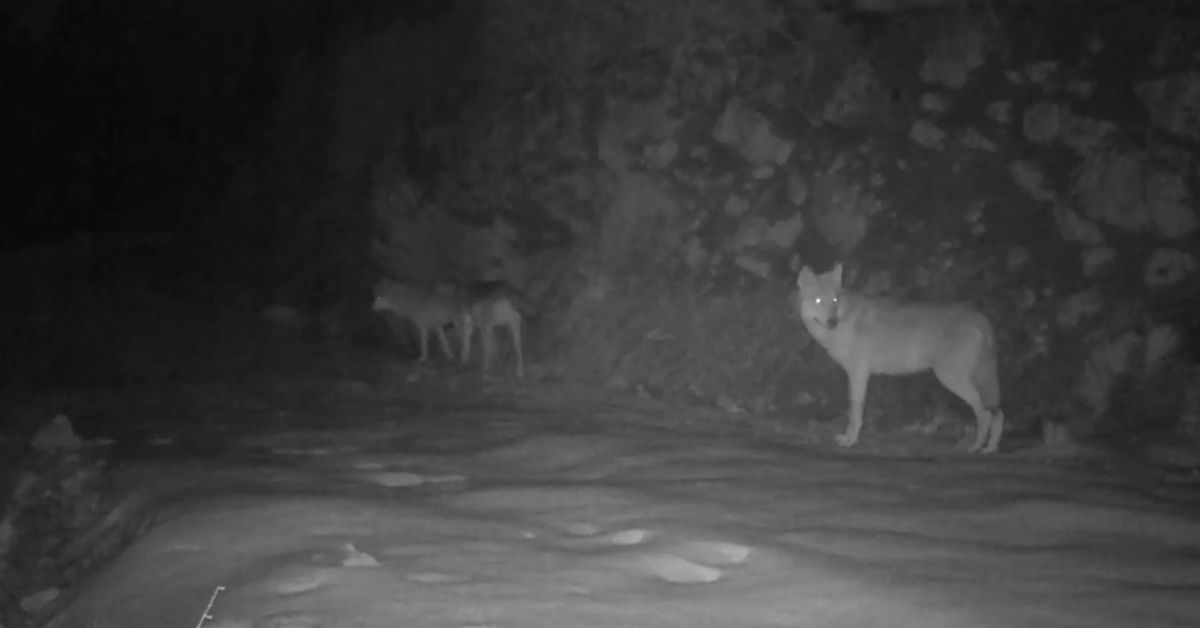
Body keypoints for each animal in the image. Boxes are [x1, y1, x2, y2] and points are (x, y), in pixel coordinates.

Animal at [787, 264, 1003, 451]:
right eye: (818, 301)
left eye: (834, 301)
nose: (832, 321)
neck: (843, 320)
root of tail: (979, 315)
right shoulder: (860, 375)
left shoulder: (858, 373)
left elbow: (855, 411)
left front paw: (850, 441)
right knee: (998, 414)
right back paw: (990, 449)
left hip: (951, 379)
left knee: (985, 414)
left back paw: (976, 447)